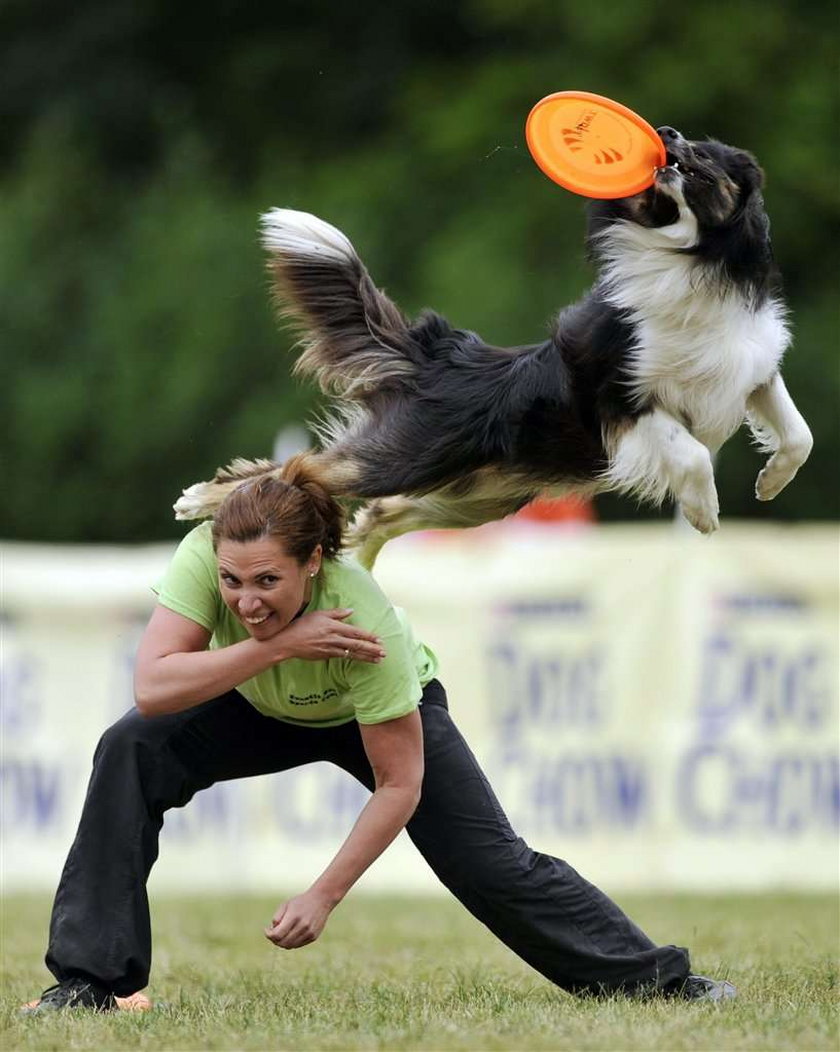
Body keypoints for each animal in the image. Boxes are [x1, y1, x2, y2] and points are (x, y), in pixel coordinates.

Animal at [175, 125, 816, 568]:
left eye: (708, 155)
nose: (666, 132)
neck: (695, 261)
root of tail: (442, 353)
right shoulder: (615, 396)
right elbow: (691, 453)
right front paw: (704, 512)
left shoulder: (751, 370)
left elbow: (797, 433)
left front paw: (769, 482)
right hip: (409, 456)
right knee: (302, 467)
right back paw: (201, 500)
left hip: (474, 497)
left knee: (376, 509)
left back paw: (358, 565)